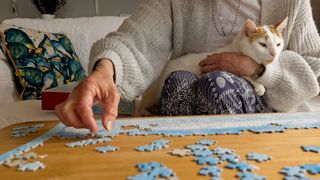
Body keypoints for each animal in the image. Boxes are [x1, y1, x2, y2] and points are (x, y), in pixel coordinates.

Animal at [134, 17, 288, 116]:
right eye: (262, 44)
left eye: (278, 44)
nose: (274, 54)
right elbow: (242, 73)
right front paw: (258, 85)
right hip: (155, 91)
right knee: (141, 103)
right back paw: (142, 112)